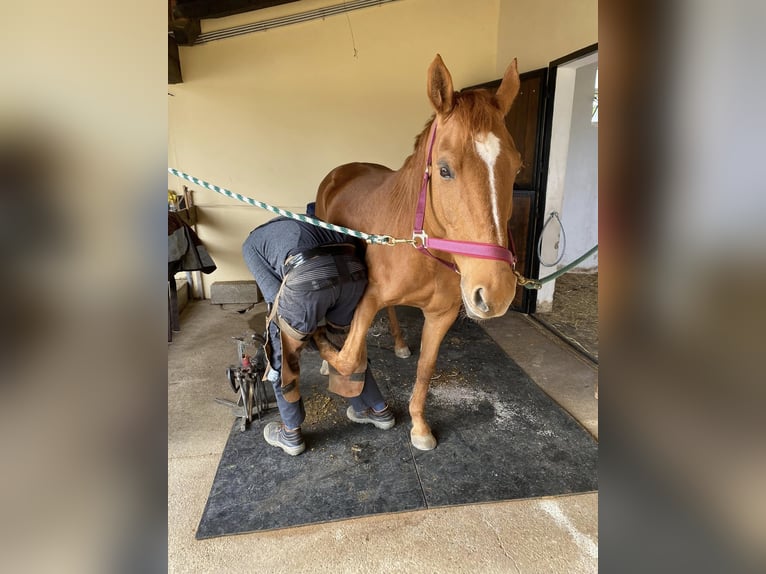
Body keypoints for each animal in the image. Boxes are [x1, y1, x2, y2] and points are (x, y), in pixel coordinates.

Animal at [312, 55, 520, 450]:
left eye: (517, 168)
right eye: (444, 169)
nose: (496, 292)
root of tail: (341, 172)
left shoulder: (441, 315)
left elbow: (425, 369)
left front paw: (420, 427)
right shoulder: (368, 298)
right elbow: (349, 358)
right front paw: (326, 356)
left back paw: (398, 343)